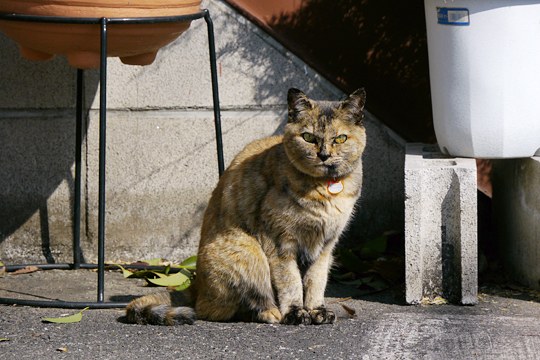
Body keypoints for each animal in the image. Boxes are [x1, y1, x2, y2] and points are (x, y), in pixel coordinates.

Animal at [125, 87, 368, 326]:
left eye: (340, 138)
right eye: (308, 137)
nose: (324, 155)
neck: (323, 190)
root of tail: (196, 286)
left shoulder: (326, 246)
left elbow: (316, 281)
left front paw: (317, 311)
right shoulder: (280, 242)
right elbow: (291, 282)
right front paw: (297, 313)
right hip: (250, 251)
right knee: (217, 309)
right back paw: (271, 313)